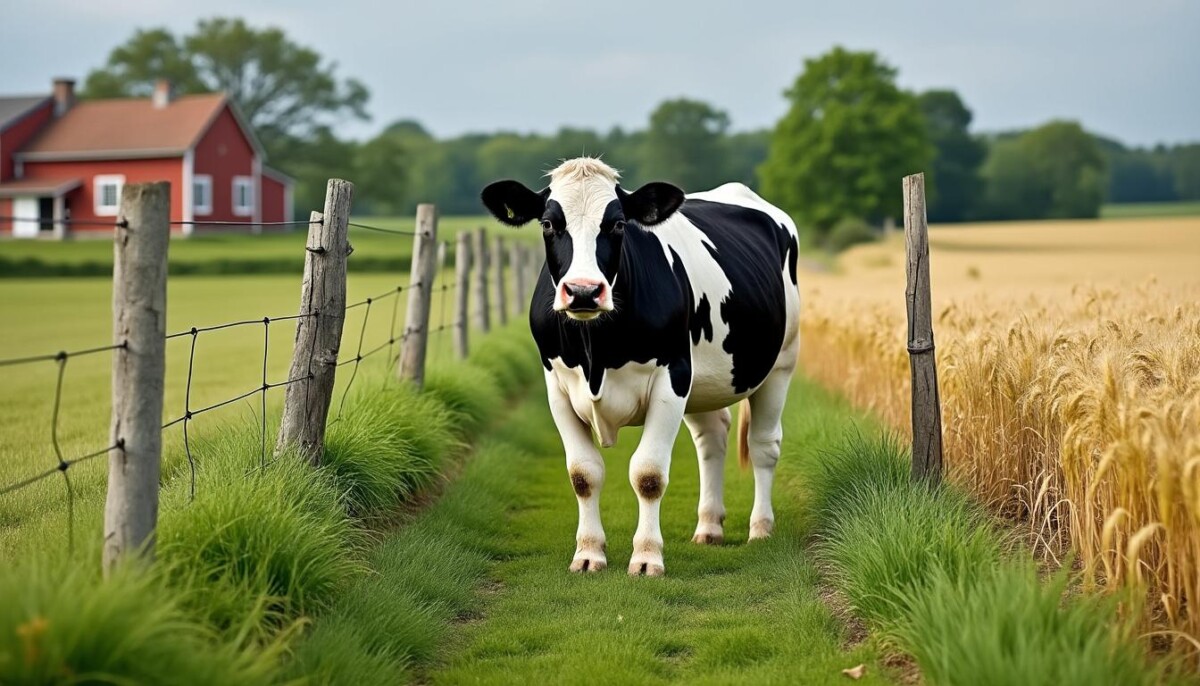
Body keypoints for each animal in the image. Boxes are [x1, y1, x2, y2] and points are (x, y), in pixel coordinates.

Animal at [481, 157, 800, 576]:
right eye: (548, 223)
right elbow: (583, 473)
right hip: (703, 380)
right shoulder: (558, 387)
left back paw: (760, 528)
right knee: (712, 438)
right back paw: (709, 527)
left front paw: (647, 557)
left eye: (618, 224)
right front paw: (588, 554)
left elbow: (648, 474)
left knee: (763, 445)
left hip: (781, 362)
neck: (596, 355)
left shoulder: (672, 376)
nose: (583, 291)